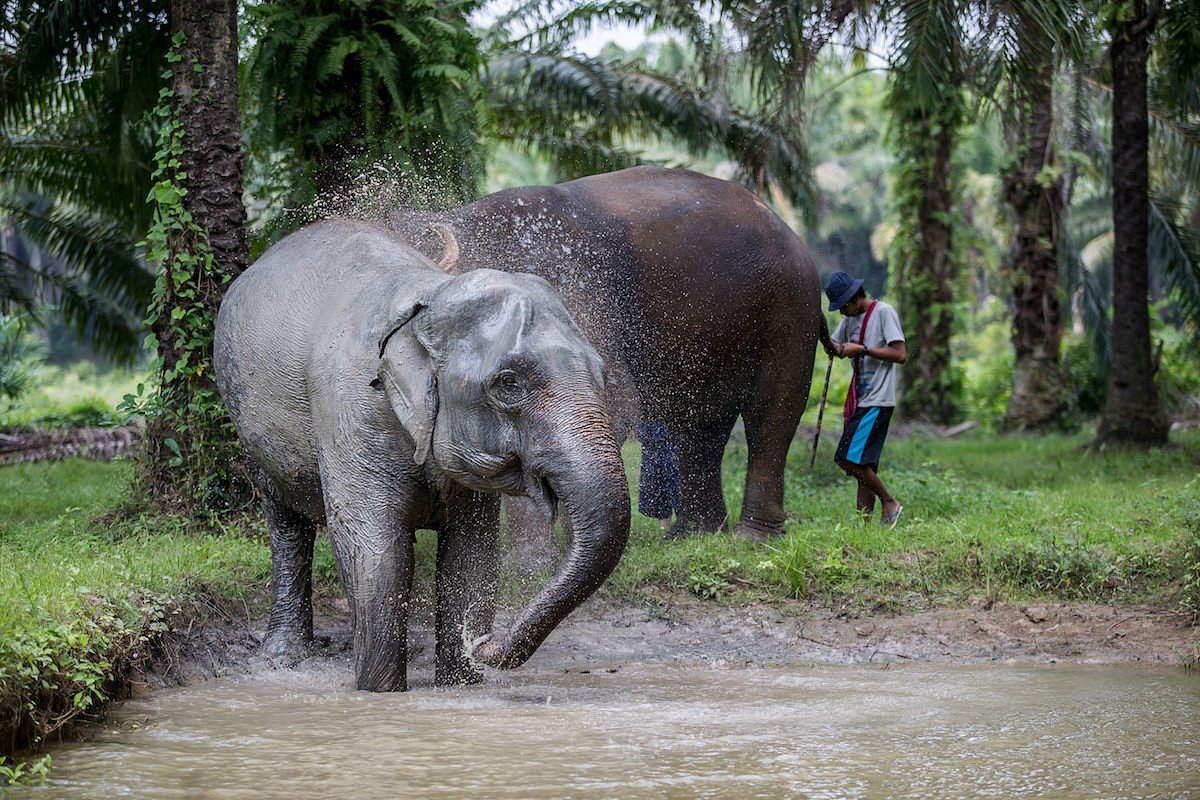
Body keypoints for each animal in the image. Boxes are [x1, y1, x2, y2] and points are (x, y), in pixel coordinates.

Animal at [212, 220, 633, 695]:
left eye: (601, 374)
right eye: (509, 384)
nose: (483, 642)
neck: (428, 297)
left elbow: (472, 555)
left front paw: (460, 683)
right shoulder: (352, 412)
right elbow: (376, 553)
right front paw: (380, 693)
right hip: (247, 422)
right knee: (284, 522)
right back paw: (284, 655)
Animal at [388, 167, 830, 544]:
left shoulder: (569, 290)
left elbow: (609, 402)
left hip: (792, 309)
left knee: (771, 413)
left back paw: (752, 538)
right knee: (698, 424)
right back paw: (692, 537)